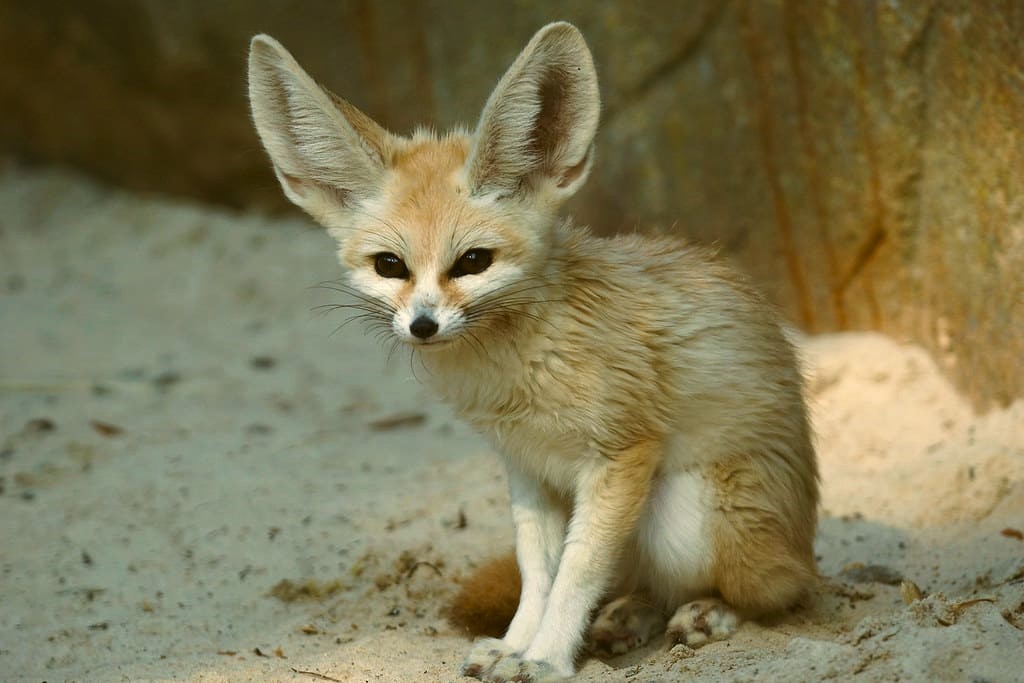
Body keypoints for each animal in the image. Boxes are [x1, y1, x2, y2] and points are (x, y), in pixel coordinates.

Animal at [245, 21, 815, 683]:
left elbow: (576, 573)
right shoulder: (527, 468)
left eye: (473, 261)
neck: (516, 369)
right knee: (651, 584)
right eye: (391, 266)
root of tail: (805, 542)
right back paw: (634, 615)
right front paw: (515, 646)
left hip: (686, 512)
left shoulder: (620, 455)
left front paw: (545, 658)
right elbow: (537, 573)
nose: (422, 325)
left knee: (782, 590)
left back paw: (714, 611)